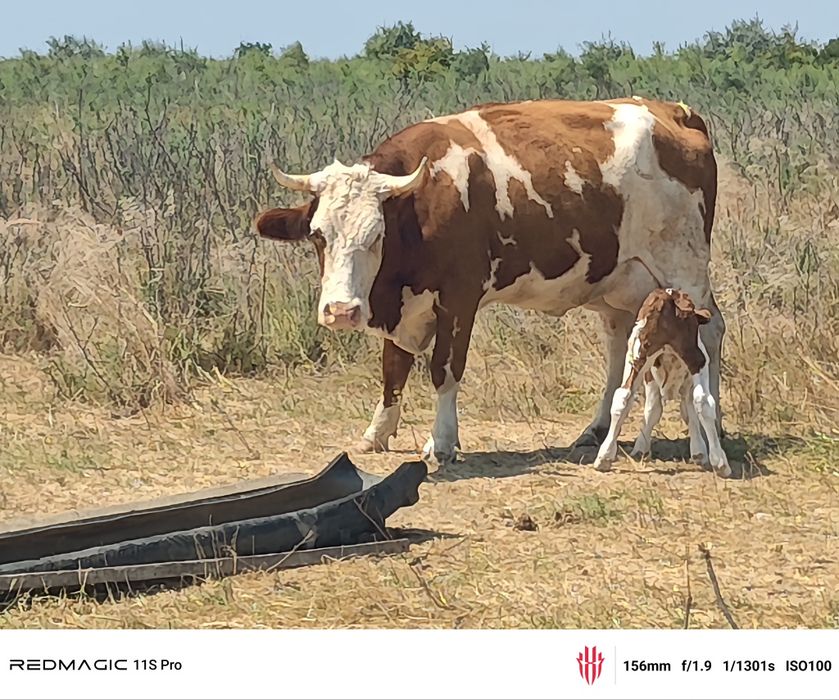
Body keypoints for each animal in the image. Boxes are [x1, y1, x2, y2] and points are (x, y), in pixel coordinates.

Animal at [592, 287, 731, 477]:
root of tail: (668, 296)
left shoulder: (650, 375)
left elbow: (656, 409)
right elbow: (683, 409)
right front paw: (700, 452)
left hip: (638, 353)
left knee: (622, 396)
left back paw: (604, 457)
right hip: (696, 357)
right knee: (703, 400)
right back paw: (721, 463)